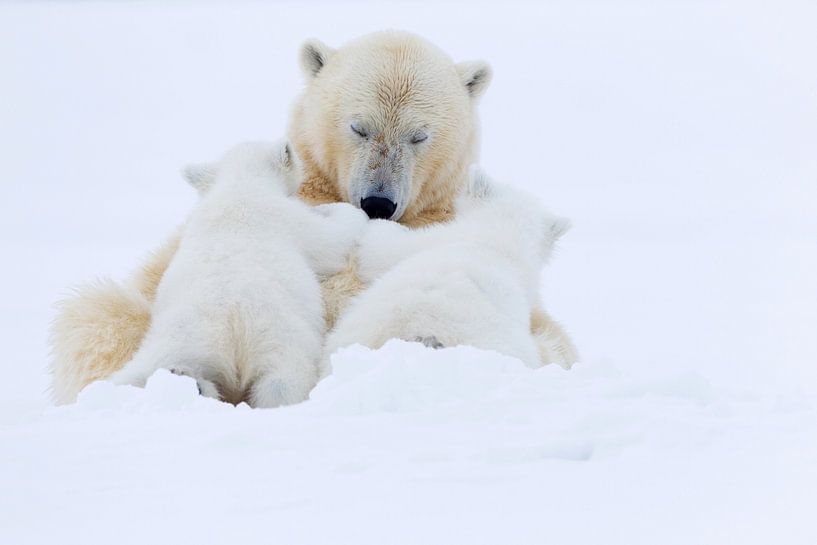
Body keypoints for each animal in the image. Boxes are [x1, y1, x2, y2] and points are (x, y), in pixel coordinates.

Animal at [106, 142, 366, 406]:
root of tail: (230, 337)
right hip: (280, 338)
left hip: (176, 340)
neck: (239, 186)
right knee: (282, 381)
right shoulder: (288, 217)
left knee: (141, 370)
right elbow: (332, 241)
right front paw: (339, 210)